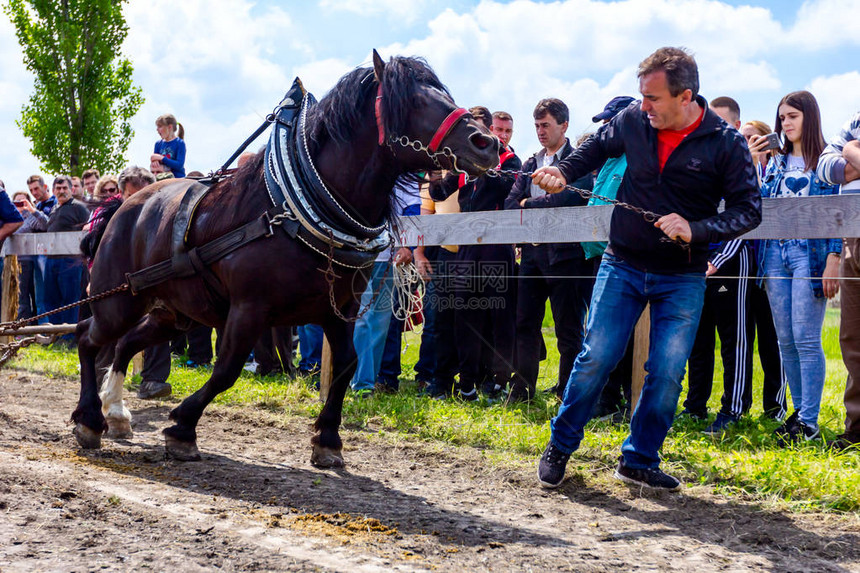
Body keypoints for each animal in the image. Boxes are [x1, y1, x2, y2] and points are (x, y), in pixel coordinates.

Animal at [71, 51, 500, 466]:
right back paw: (90, 419)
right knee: (89, 336)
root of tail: (123, 205)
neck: (291, 211)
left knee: (125, 343)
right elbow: (227, 370)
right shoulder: (249, 308)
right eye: (413, 100)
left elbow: (346, 363)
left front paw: (328, 440)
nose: (487, 144)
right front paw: (182, 428)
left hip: (173, 312)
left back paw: (116, 415)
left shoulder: (338, 308)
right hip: (120, 299)